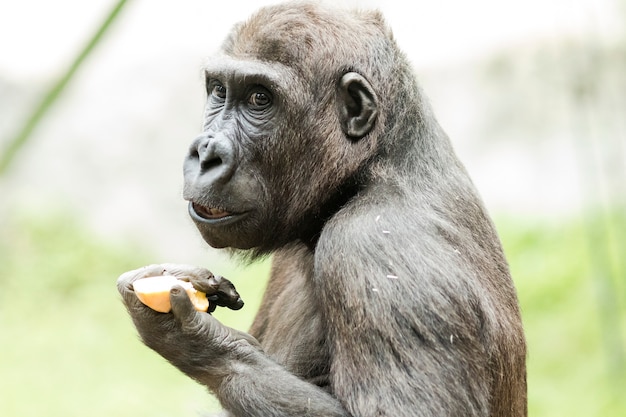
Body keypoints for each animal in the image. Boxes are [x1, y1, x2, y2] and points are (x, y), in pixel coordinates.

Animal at [116, 1, 520, 414]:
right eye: (219, 91)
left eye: (259, 99)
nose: (206, 152)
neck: (372, 165)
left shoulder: (376, 248)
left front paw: (196, 340)